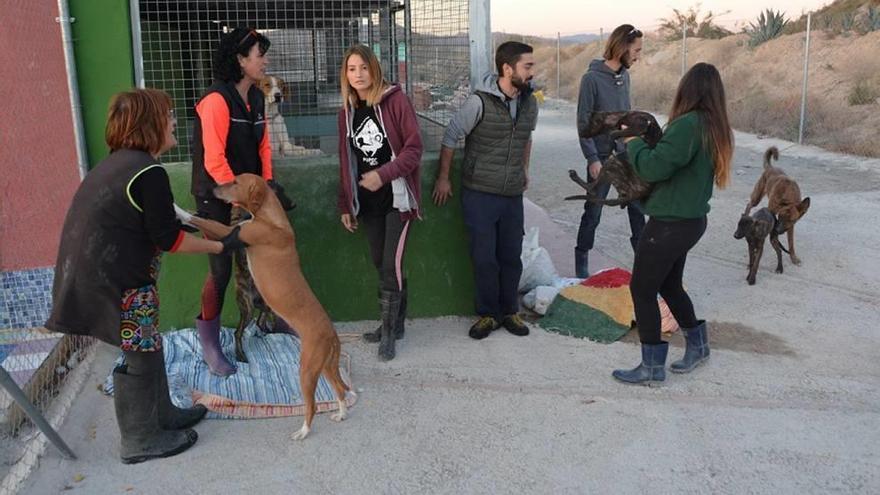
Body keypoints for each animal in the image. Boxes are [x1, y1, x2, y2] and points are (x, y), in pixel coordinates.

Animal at [186, 174, 350, 442]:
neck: (270, 217)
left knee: (312, 405)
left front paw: (178, 211)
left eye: (234, 181)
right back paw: (341, 414)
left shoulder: (234, 235)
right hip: (325, 366)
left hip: (307, 369)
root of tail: (331, 334)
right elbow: (203, 219)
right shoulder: (234, 231)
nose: (213, 188)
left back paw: (303, 432)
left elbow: (204, 221)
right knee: (339, 388)